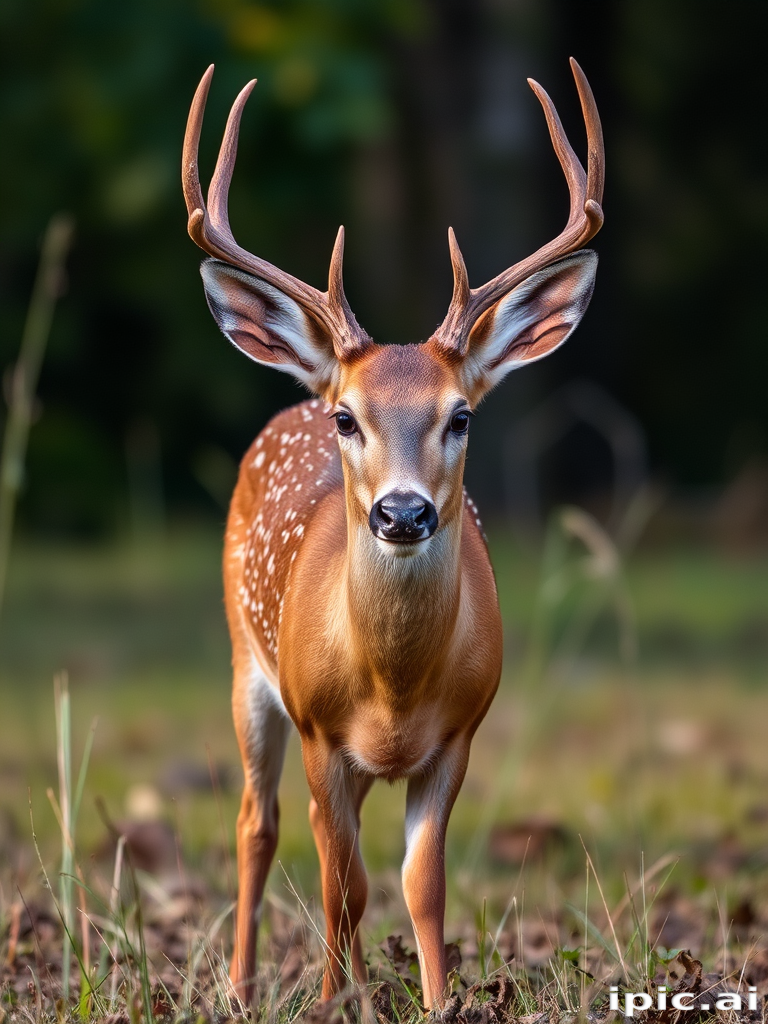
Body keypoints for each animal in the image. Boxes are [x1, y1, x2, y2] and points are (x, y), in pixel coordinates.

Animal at [182, 58, 604, 1010]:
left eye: (461, 417)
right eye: (349, 418)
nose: (403, 513)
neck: (393, 692)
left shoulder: (457, 738)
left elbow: (419, 883)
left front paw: (437, 1002)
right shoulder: (317, 732)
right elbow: (343, 882)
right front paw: (334, 1004)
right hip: (245, 664)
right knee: (258, 823)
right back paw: (244, 985)